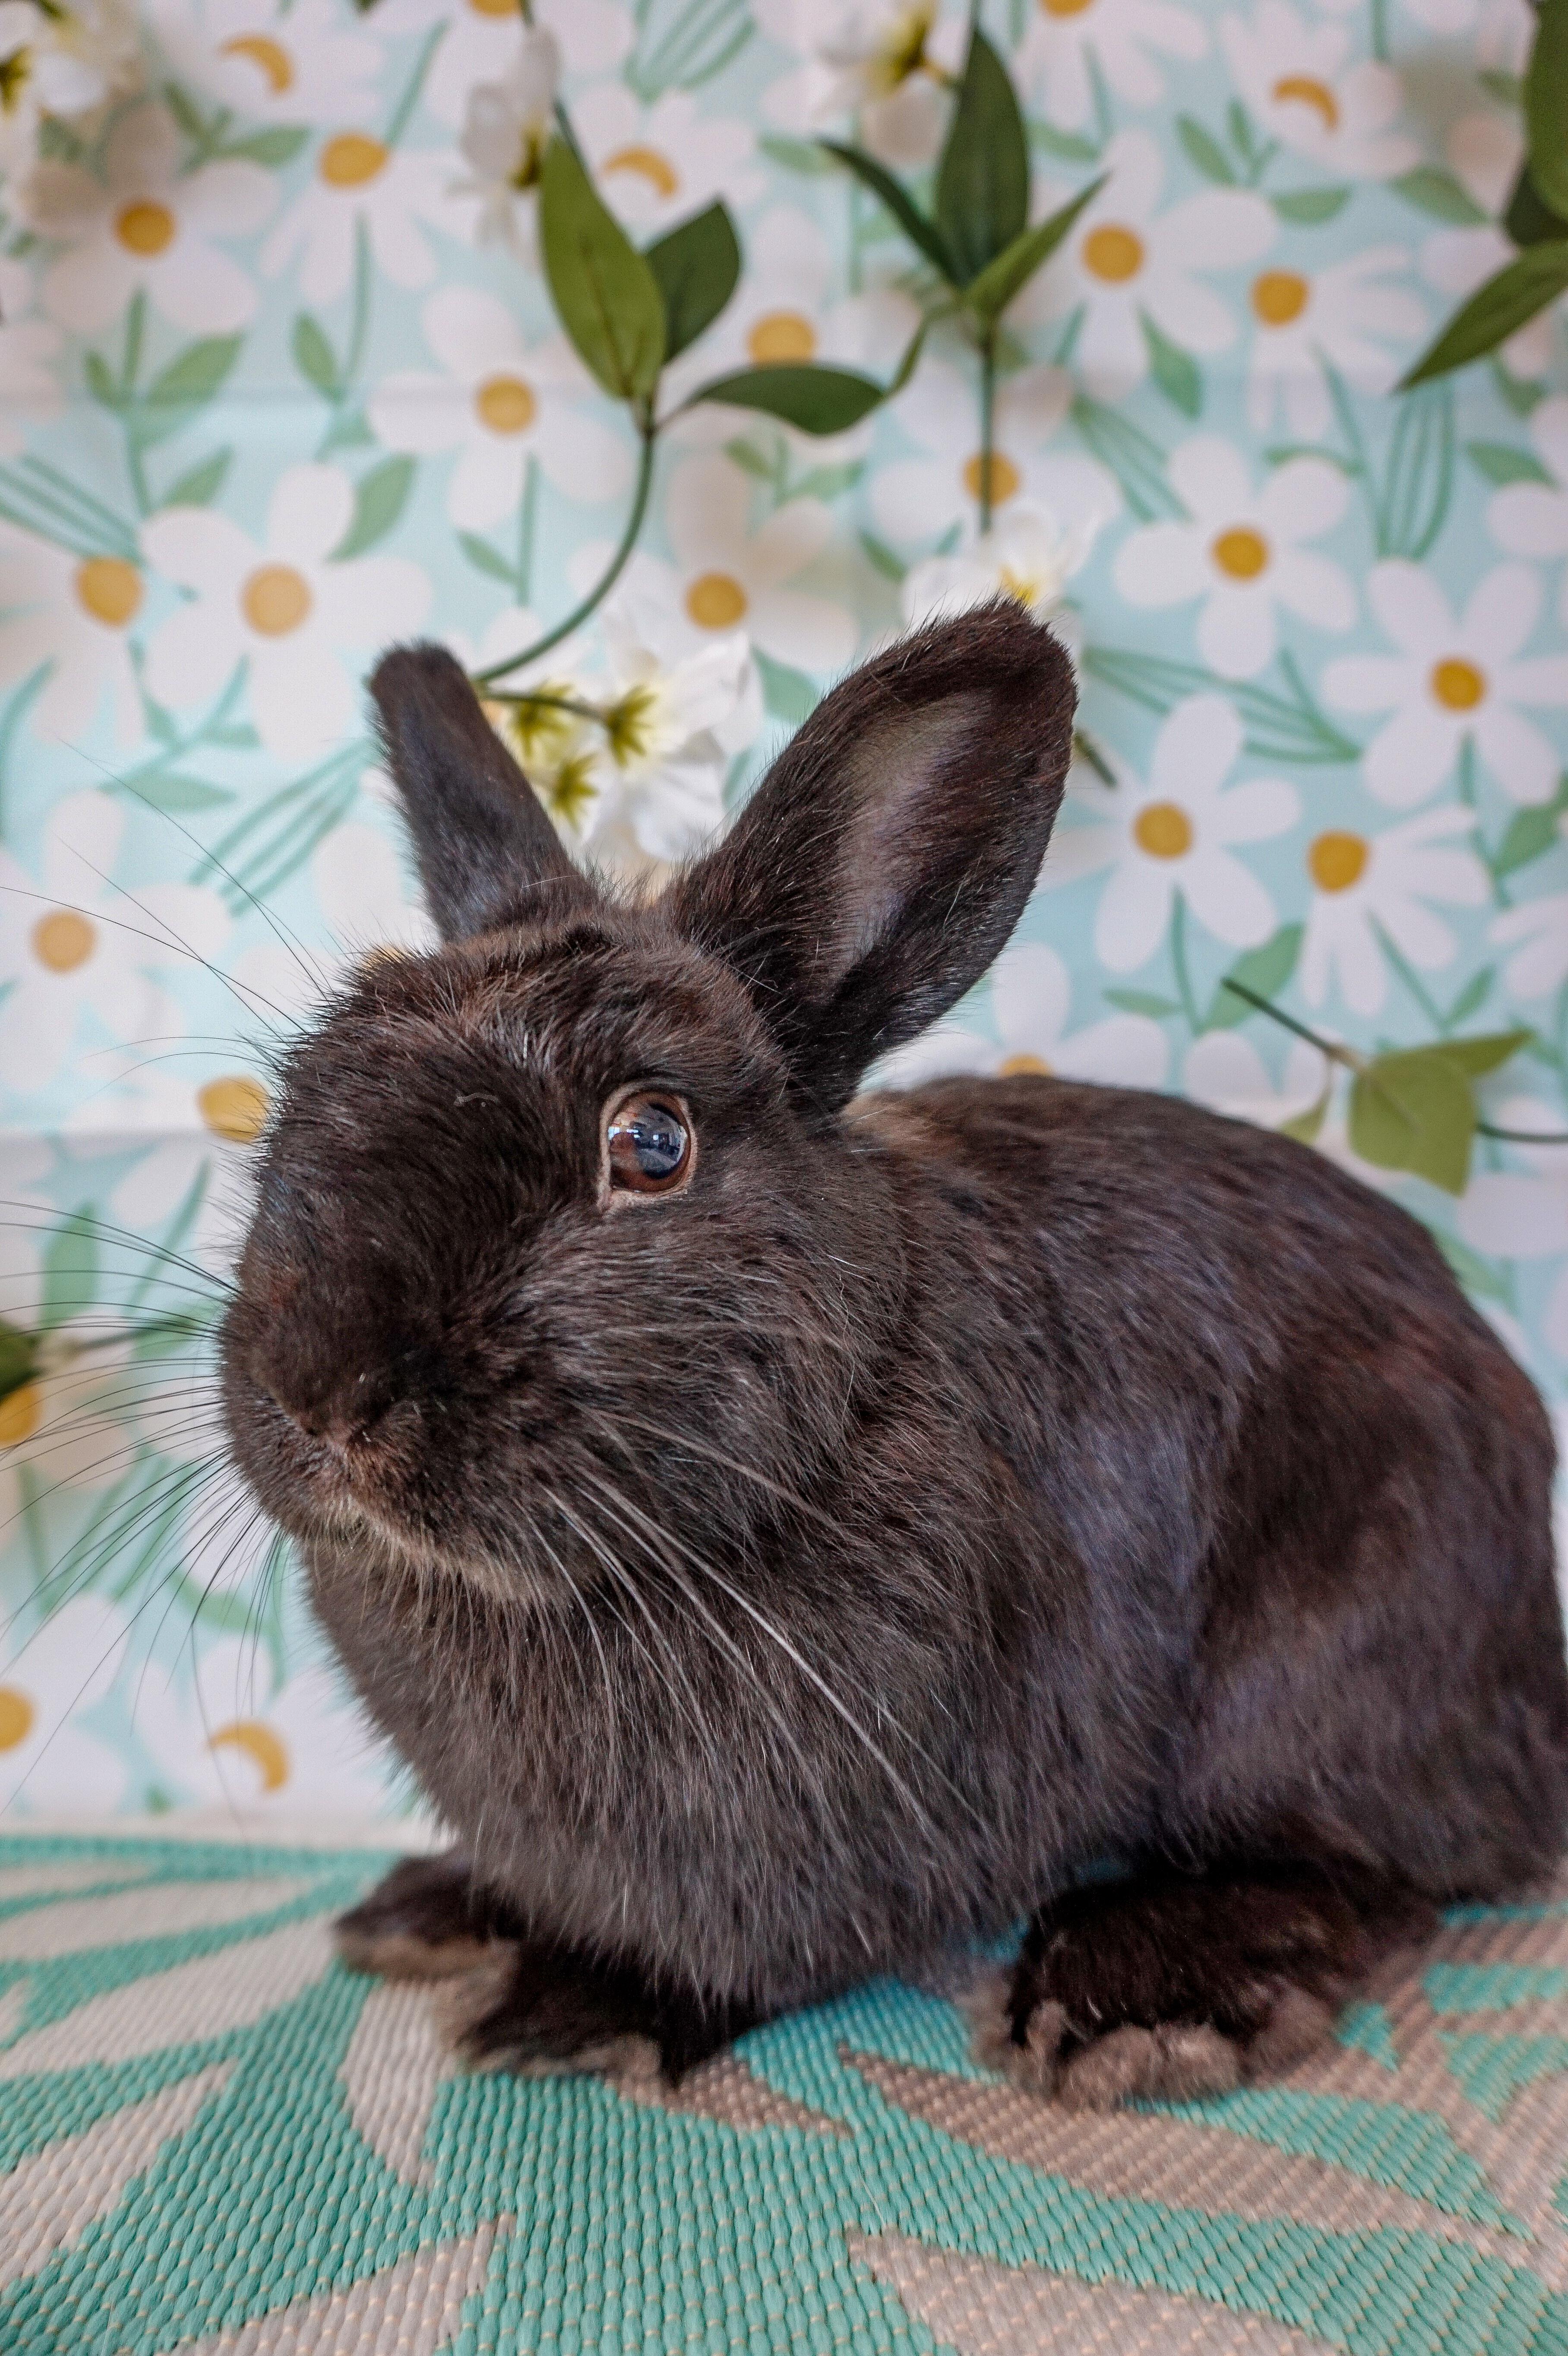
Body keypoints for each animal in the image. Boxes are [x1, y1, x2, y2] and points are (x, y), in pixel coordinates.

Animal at [221, 602, 1568, 2110]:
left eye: (652, 1141)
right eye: (306, 1092)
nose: (323, 1397)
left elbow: (757, 1950)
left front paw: (583, 2003)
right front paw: (472, 1916)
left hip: (1328, 1659)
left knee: (1365, 1868)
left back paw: (1139, 1995)